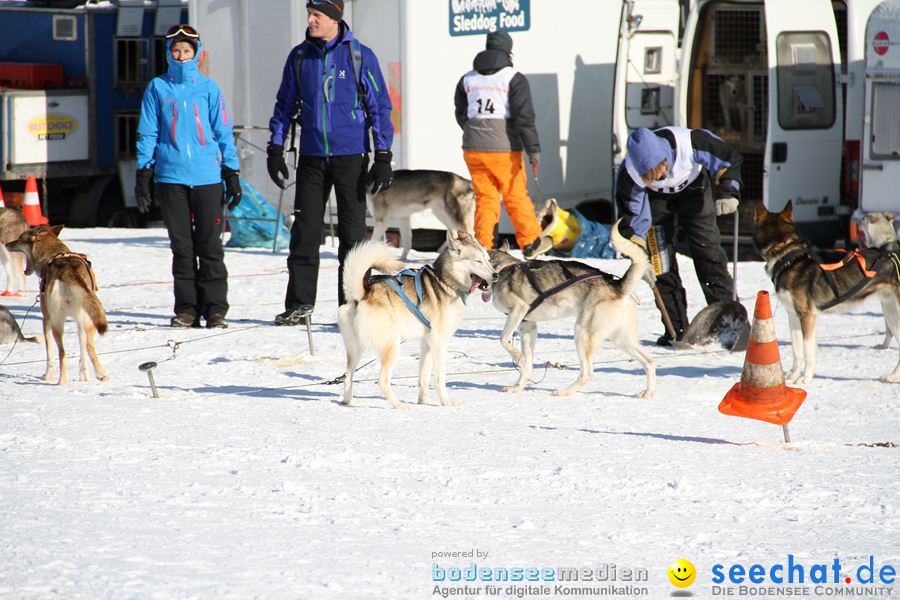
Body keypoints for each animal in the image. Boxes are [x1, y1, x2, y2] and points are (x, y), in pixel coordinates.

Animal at [338, 229, 496, 408]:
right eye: (477, 261)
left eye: (488, 260)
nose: (496, 275)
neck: (446, 281)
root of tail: (363, 294)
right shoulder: (439, 342)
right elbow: (439, 378)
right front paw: (445, 401)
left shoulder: (426, 343)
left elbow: (424, 377)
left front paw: (424, 401)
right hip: (392, 347)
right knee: (382, 381)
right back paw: (399, 406)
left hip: (357, 349)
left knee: (348, 378)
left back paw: (349, 402)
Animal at [488, 220, 656, 398]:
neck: (501, 267)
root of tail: (617, 286)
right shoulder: (528, 327)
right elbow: (527, 365)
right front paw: (518, 387)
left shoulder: (519, 309)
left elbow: (503, 339)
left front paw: (517, 357)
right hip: (620, 339)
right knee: (650, 362)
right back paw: (648, 392)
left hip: (583, 333)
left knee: (587, 373)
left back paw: (565, 391)